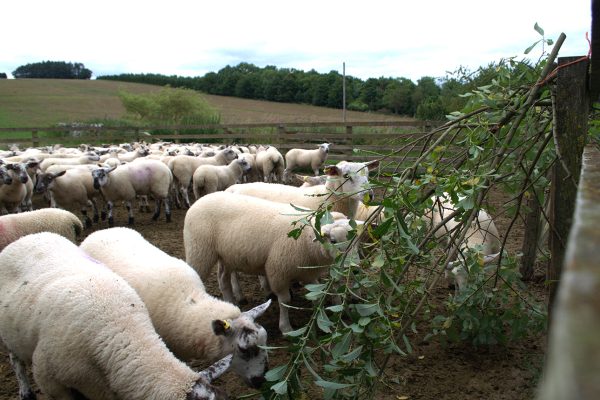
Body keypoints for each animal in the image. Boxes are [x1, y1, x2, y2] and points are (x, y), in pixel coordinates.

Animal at [183, 191, 360, 334]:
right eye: (333, 240)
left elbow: (316, 296)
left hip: (227, 255)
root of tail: (202, 199)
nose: (354, 268)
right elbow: (285, 301)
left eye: (357, 240)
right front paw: (286, 328)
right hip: (199, 250)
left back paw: (231, 304)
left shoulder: (307, 273)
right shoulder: (278, 271)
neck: (307, 239)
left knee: (223, 278)